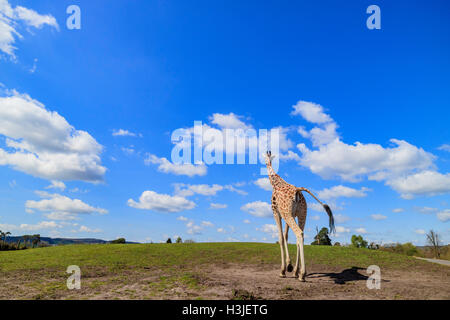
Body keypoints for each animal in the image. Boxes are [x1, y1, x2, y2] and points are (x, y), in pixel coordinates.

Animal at [264, 151, 334, 282]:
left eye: (266, 157)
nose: (267, 158)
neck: (275, 183)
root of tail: (298, 190)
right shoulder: (288, 214)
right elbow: (286, 236)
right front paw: (290, 266)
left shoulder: (276, 212)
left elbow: (281, 238)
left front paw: (283, 270)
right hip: (302, 214)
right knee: (300, 235)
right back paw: (297, 272)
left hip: (290, 215)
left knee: (299, 233)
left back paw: (302, 274)